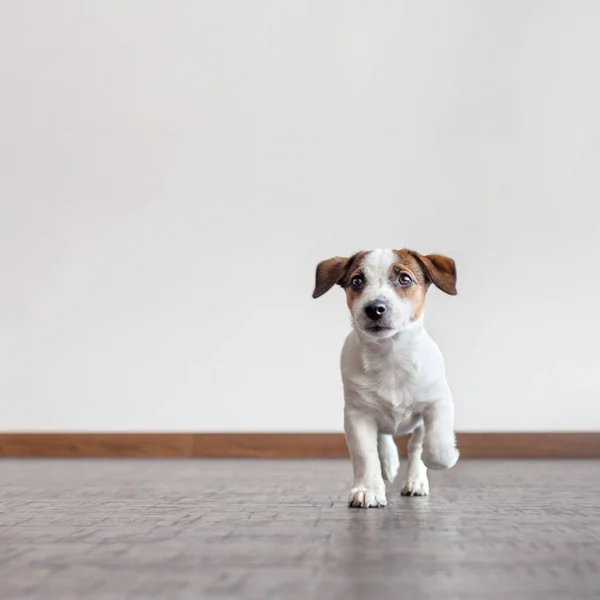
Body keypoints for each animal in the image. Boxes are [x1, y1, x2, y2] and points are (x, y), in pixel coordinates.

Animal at [314, 248, 460, 506]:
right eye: (356, 281)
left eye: (405, 278)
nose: (375, 308)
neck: (390, 355)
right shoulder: (357, 415)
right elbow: (365, 454)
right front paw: (368, 489)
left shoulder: (438, 402)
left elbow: (435, 446)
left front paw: (446, 457)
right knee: (384, 437)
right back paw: (389, 463)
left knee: (416, 443)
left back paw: (415, 480)